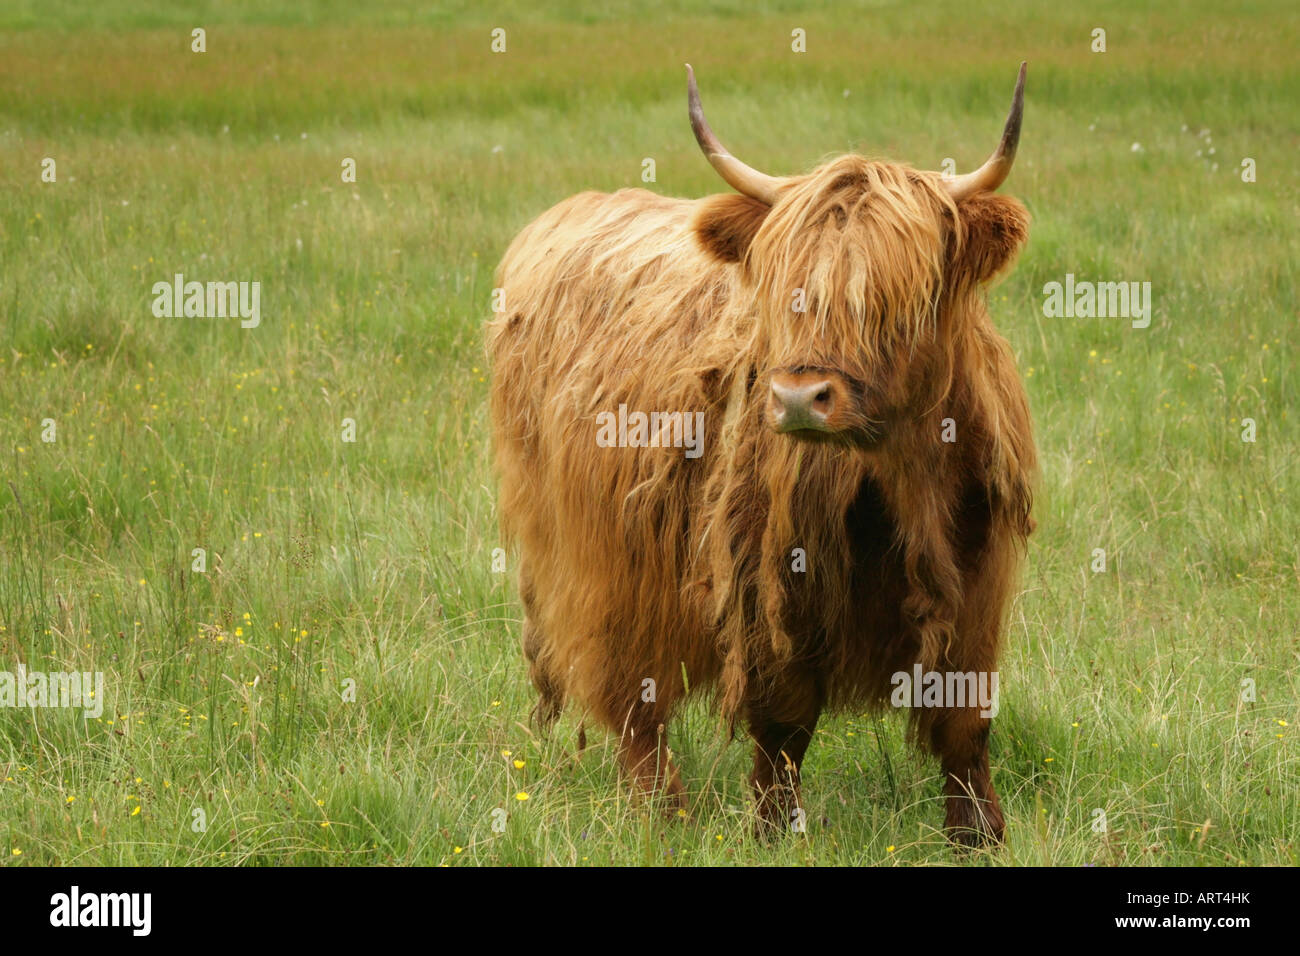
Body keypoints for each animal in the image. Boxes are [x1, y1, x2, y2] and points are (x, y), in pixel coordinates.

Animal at [487, 64, 1036, 846]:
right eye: (783, 290)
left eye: (896, 296)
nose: (801, 398)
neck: (898, 482)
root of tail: (570, 211)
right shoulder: (764, 577)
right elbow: (782, 723)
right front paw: (774, 829)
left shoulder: (978, 576)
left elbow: (965, 719)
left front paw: (979, 833)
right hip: (596, 556)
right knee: (630, 696)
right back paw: (663, 815)